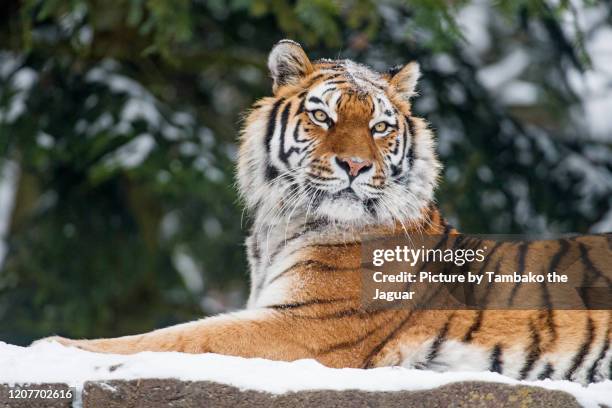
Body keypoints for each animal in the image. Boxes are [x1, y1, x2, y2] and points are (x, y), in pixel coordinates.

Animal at [40, 39, 608, 384]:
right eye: (323, 116)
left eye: (380, 127)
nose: (355, 165)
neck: (281, 224)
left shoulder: (302, 325)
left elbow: (182, 337)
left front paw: (58, 345)